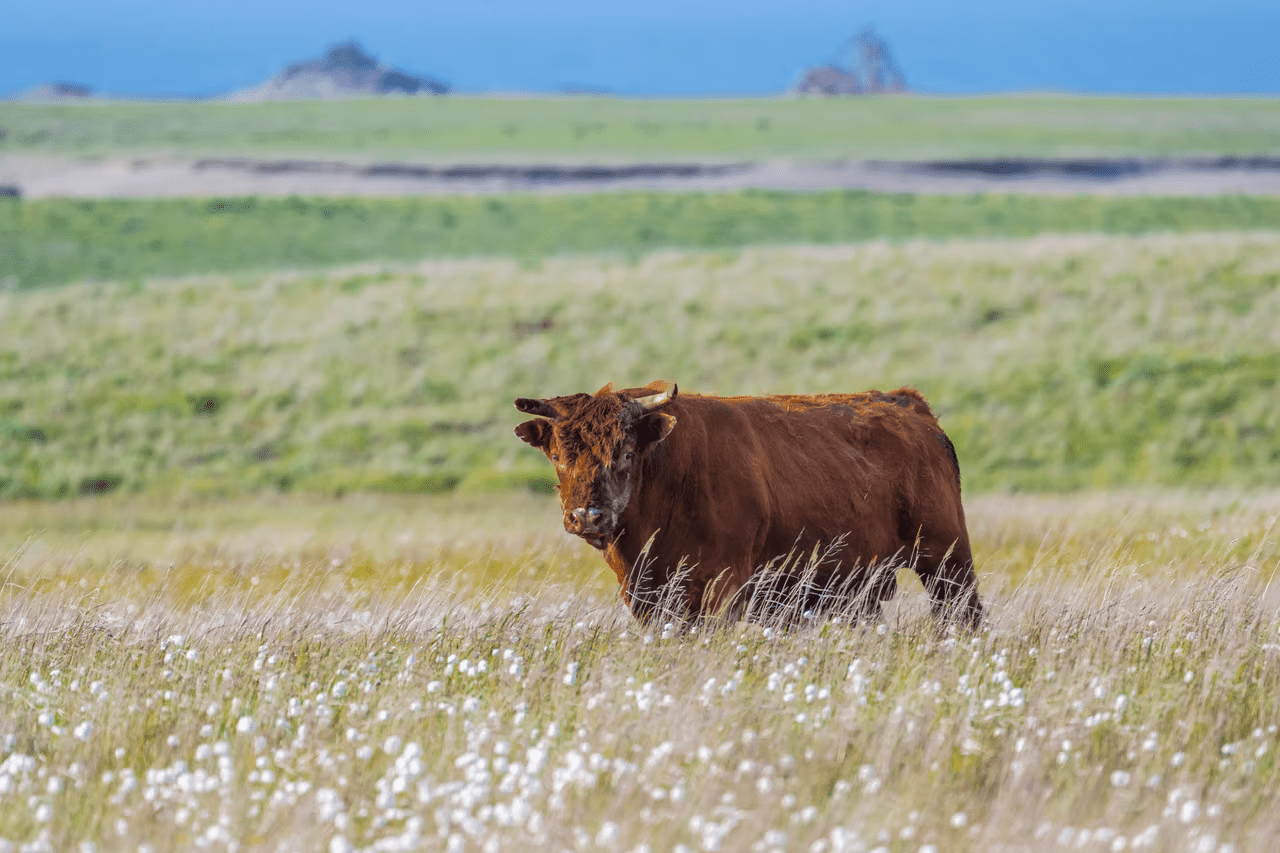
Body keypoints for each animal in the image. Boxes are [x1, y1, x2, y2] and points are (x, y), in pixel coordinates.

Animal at [513, 381, 982, 628]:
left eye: (626, 453)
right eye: (557, 456)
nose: (586, 516)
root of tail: (911, 406)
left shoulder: (722, 589)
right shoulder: (647, 596)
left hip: (948, 561)